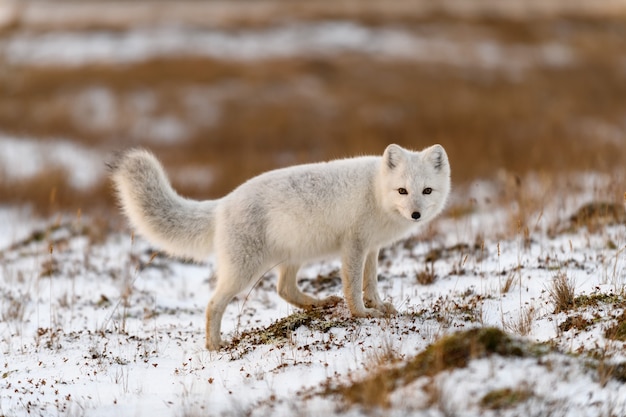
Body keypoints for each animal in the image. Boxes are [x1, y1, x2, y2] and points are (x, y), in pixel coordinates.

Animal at [108, 143, 448, 348]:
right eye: (402, 191)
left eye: (426, 191)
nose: (416, 214)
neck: (376, 192)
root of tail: (221, 204)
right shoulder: (354, 245)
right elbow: (353, 287)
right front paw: (362, 314)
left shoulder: (372, 248)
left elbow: (371, 283)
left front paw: (378, 306)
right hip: (243, 272)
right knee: (213, 304)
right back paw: (215, 346)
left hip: (293, 256)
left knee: (284, 289)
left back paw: (319, 304)